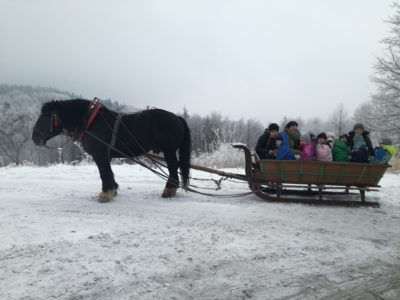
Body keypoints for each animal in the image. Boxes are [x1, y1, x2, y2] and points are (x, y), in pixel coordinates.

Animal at [32, 98, 191, 202]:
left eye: (45, 116)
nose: (34, 137)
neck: (91, 121)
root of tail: (177, 117)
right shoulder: (106, 155)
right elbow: (108, 172)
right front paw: (113, 189)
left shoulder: (100, 154)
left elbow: (104, 172)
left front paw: (106, 193)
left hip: (169, 151)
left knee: (173, 168)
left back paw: (169, 190)